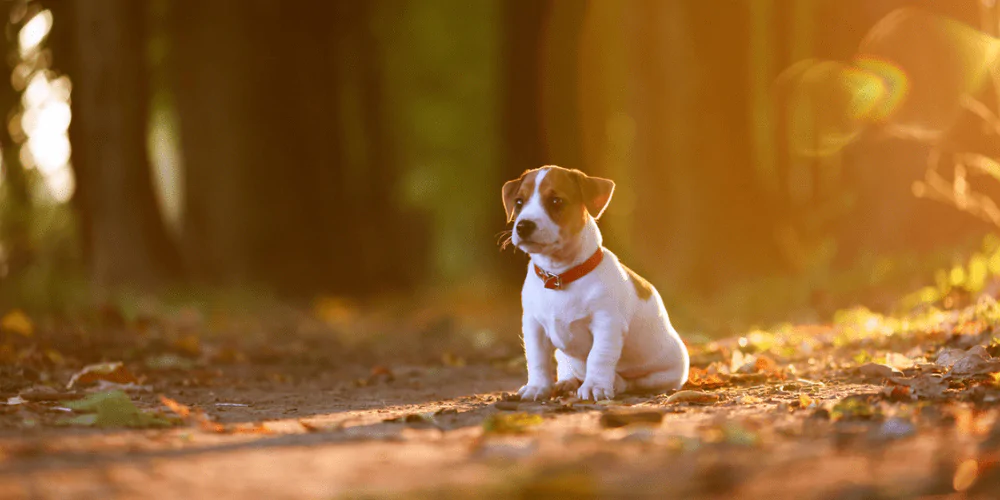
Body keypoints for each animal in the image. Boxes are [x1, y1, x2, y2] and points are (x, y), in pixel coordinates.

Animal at [504, 166, 692, 400]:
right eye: (519, 202)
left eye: (556, 201)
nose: (523, 226)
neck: (559, 276)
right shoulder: (533, 326)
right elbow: (537, 359)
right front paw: (537, 386)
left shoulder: (606, 324)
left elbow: (598, 357)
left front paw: (594, 386)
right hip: (563, 356)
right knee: (565, 366)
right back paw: (567, 382)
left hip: (665, 373)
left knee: (634, 382)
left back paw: (616, 383)